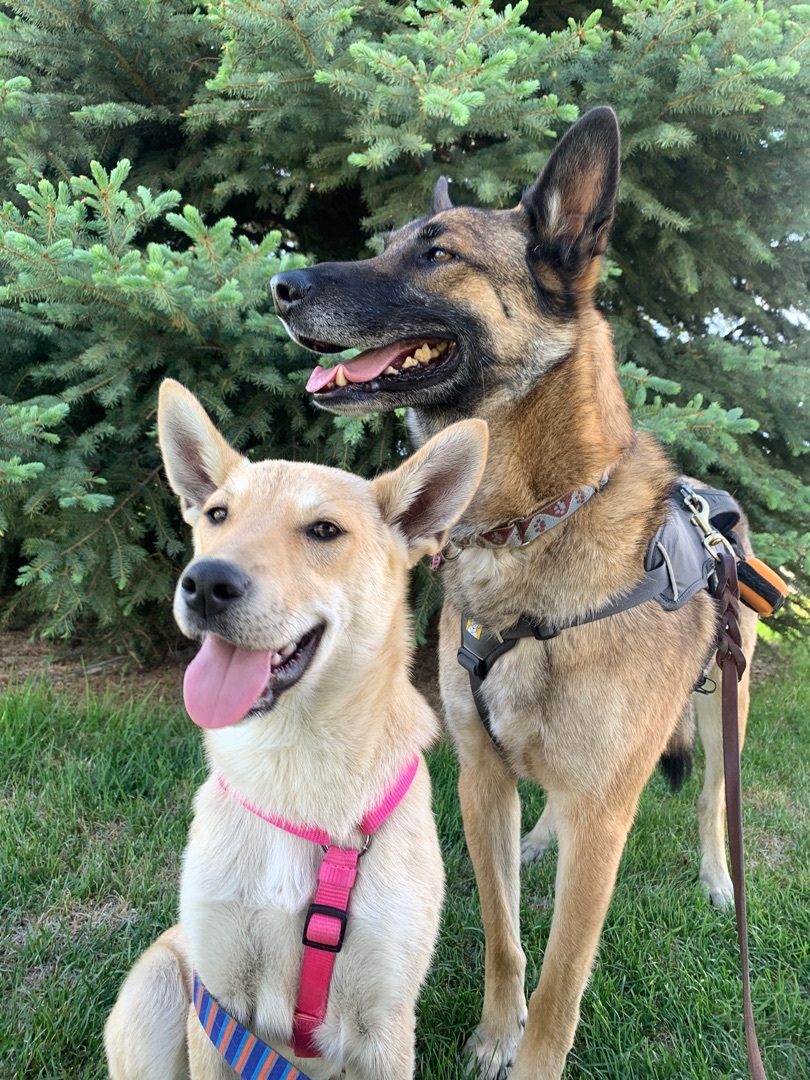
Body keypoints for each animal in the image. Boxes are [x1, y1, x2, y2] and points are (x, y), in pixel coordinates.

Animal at [106, 382, 488, 1080]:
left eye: (324, 530)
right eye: (219, 514)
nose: (206, 583)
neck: (297, 767)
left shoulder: (387, 1025)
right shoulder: (218, 1007)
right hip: (162, 984)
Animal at [273, 107, 760, 1080]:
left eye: (436, 252)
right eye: (389, 242)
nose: (279, 284)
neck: (529, 530)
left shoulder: (604, 817)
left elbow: (565, 981)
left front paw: (529, 1055)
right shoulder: (481, 780)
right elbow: (504, 938)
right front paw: (496, 1035)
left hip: (727, 707)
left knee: (708, 805)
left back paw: (717, 881)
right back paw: (541, 841)